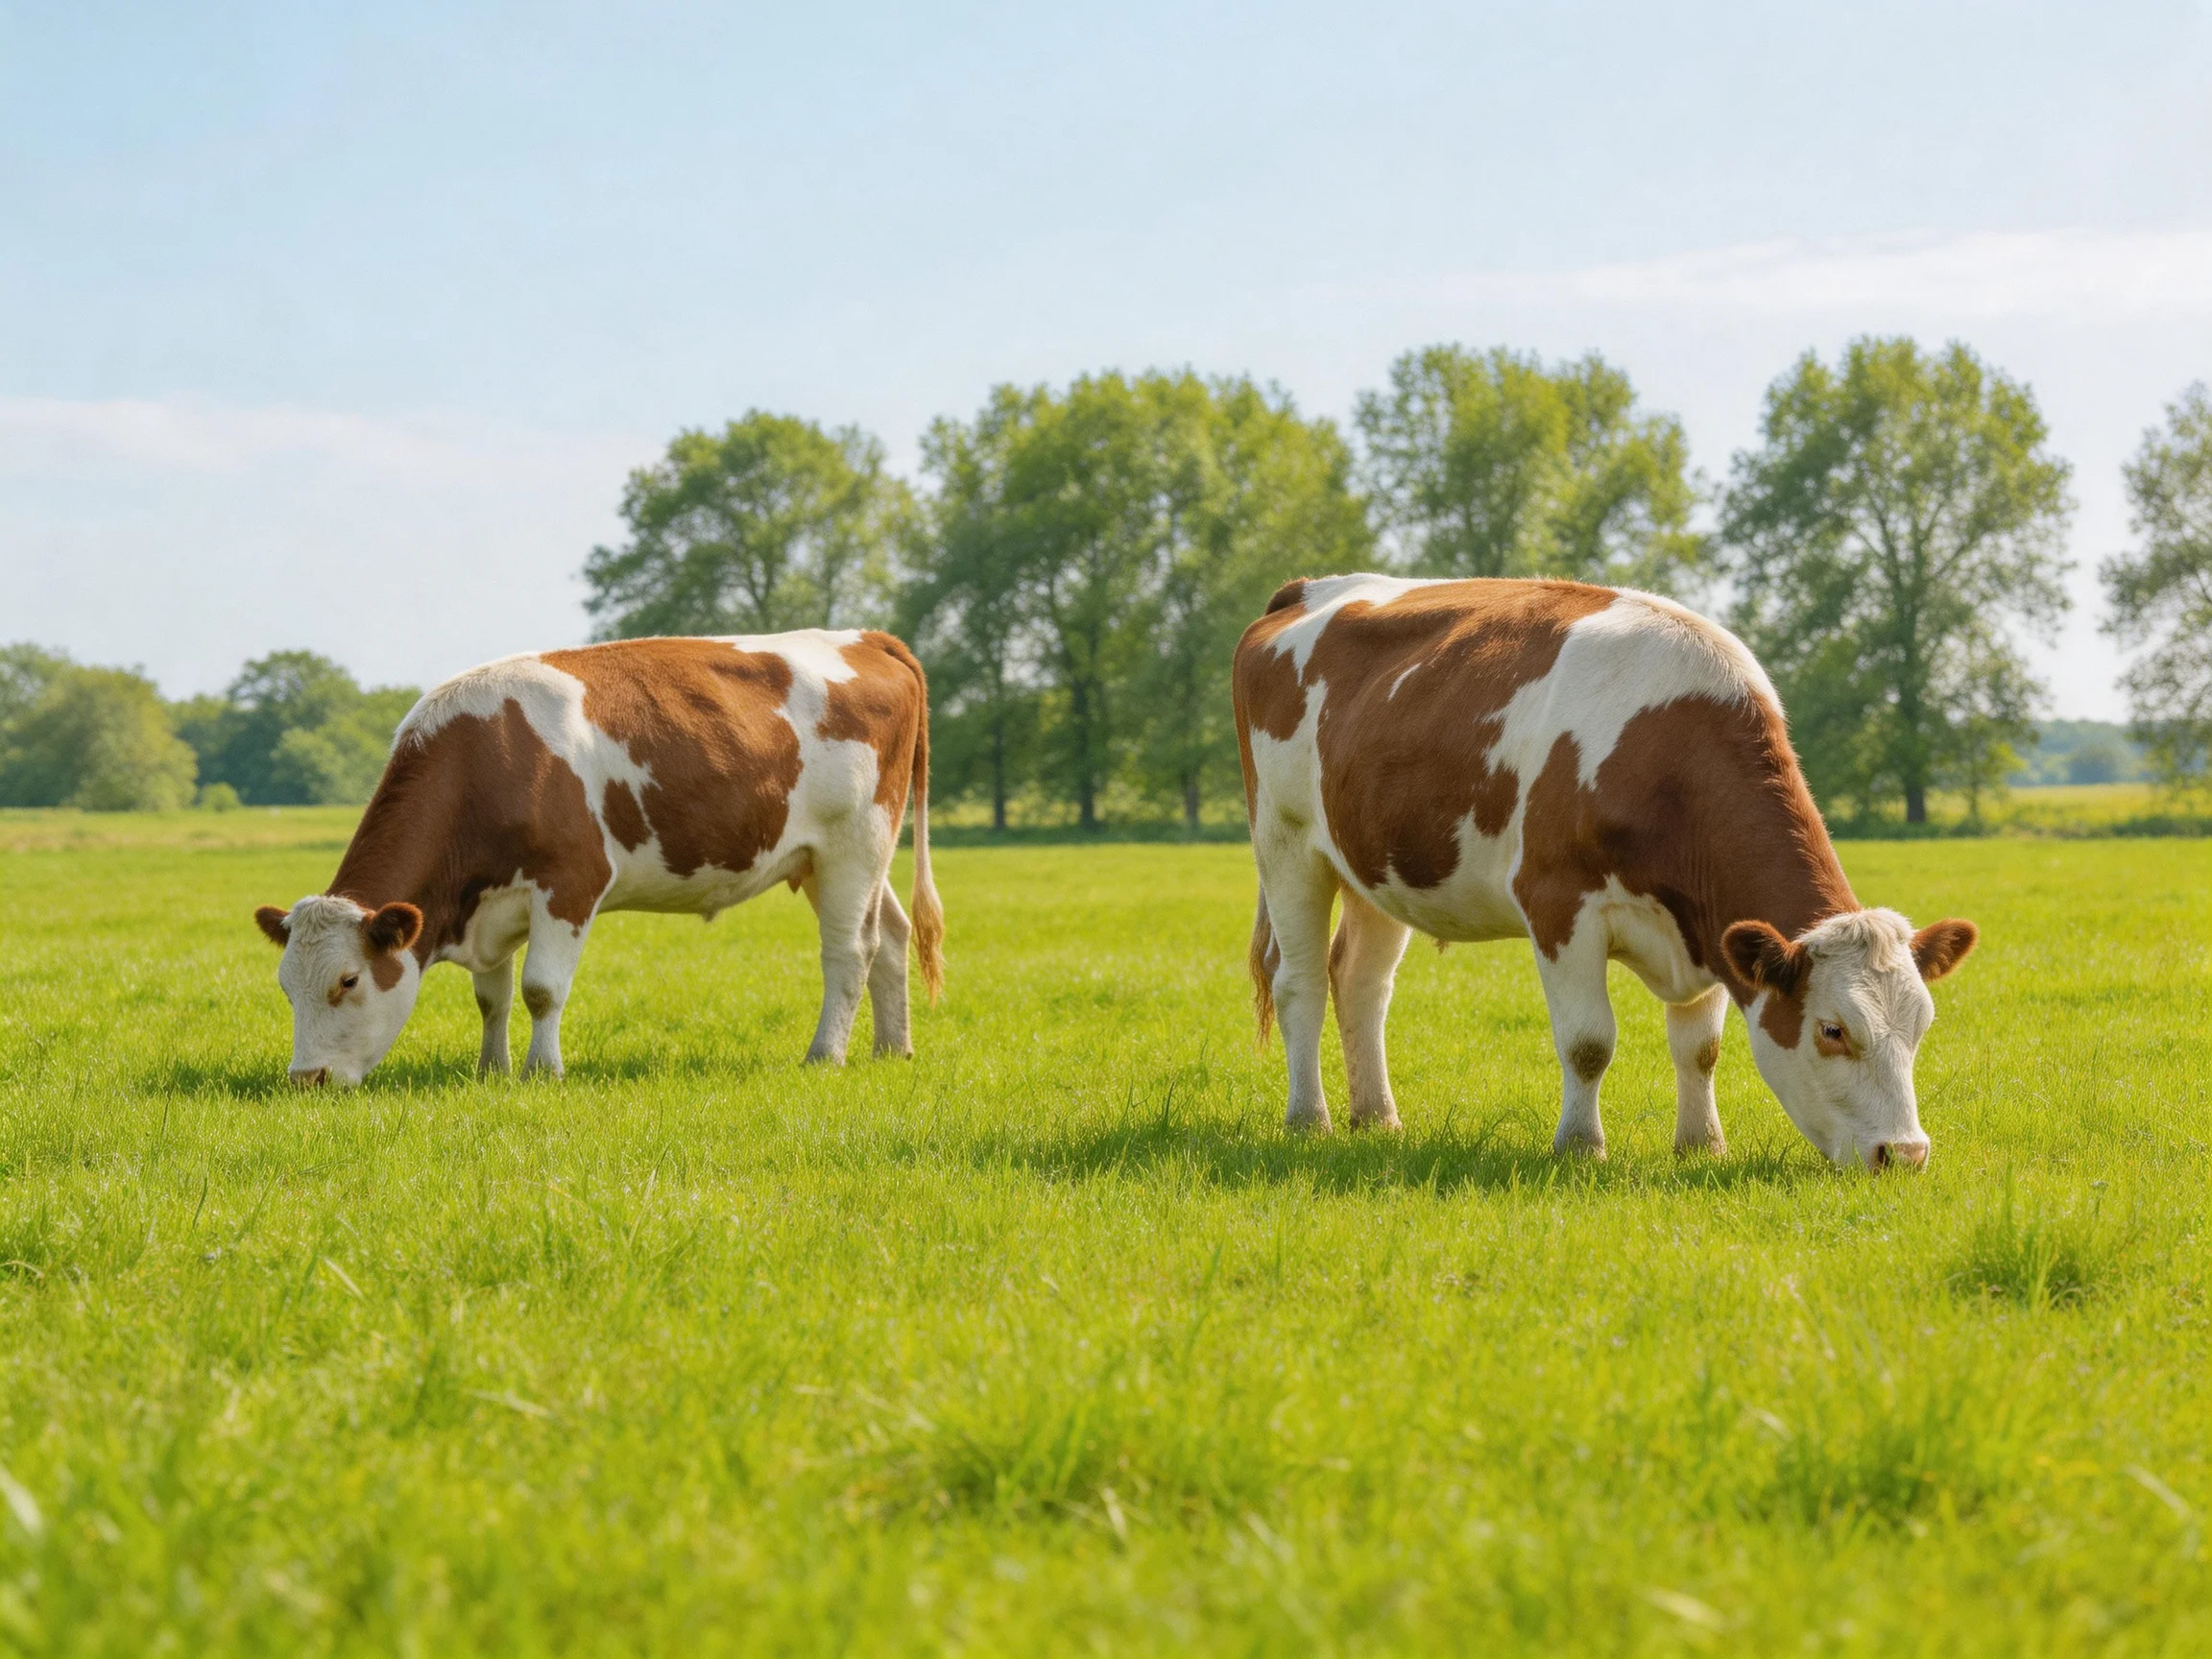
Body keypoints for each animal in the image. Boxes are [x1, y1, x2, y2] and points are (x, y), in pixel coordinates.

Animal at [253, 630, 943, 1087]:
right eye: (285, 985)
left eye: (348, 980)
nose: (306, 1079)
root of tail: (865, 638)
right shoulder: (491, 901)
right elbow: (492, 997)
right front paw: (491, 1069)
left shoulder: (570, 882)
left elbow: (540, 989)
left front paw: (541, 1072)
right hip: (836, 857)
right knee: (891, 935)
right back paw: (893, 1049)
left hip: (854, 842)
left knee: (849, 951)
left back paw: (825, 1055)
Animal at [1232, 574, 1978, 1171]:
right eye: (1832, 1030)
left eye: (1922, 1025)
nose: (1905, 1154)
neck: (1666, 754)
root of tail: (1308, 588)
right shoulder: (1559, 903)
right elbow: (1589, 1042)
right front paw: (1580, 1147)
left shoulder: (1708, 926)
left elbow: (1700, 1048)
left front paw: (1701, 1146)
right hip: (1286, 843)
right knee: (1301, 983)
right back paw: (1311, 1121)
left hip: (1375, 868)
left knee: (1361, 983)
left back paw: (1378, 1118)